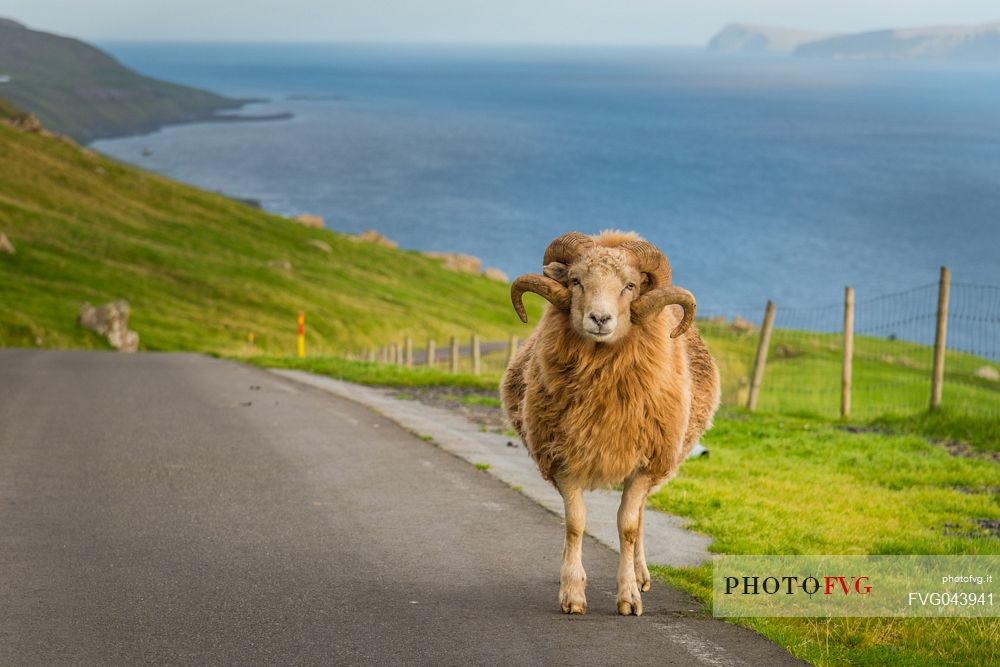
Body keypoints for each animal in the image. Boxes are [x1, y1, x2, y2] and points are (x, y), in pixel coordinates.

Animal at [500, 230, 720, 616]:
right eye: (576, 281)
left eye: (629, 286)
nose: (599, 319)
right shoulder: (563, 458)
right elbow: (575, 523)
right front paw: (572, 592)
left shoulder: (646, 463)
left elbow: (628, 526)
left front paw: (629, 595)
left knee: (641, 516)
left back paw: (641, 575)